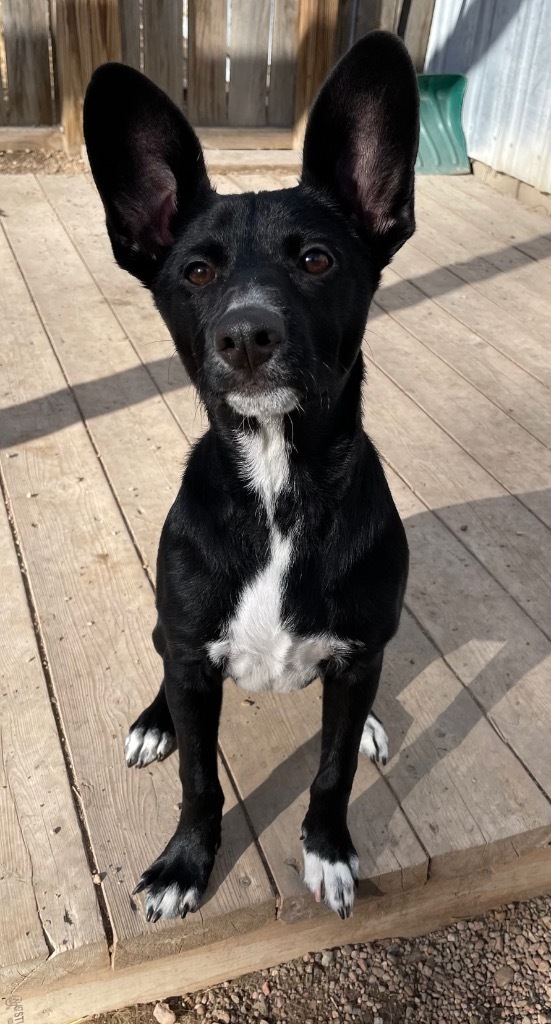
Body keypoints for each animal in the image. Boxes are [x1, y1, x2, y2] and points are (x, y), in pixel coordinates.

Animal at [82, 32, 415, 925]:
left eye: (316, 260)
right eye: (196, 273)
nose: (246, 336)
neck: (276, 491)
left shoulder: (359, 655)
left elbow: (332, 768)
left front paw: (328, 851)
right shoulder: (194, 659)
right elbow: (200, 780)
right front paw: (184, 865)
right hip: (172, 639)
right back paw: (153, 722)